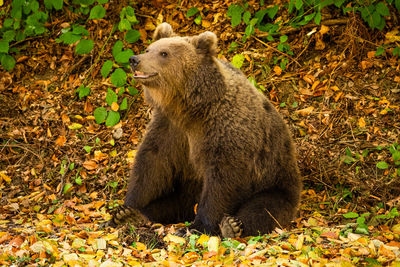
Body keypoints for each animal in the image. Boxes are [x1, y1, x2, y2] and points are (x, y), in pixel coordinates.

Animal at [111, 23, 302, 239]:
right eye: (148, 49)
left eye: (164, 53)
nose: (134, 59)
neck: (190, 108)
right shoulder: (171, 128)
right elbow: (152, 162)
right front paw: (125, 209)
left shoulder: (224, 129)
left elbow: (223, 179)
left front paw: (198, 226)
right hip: (187, 189)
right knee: (170, 203)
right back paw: (138, 215)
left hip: (275, 178)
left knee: (264, 208)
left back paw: (233, 225)